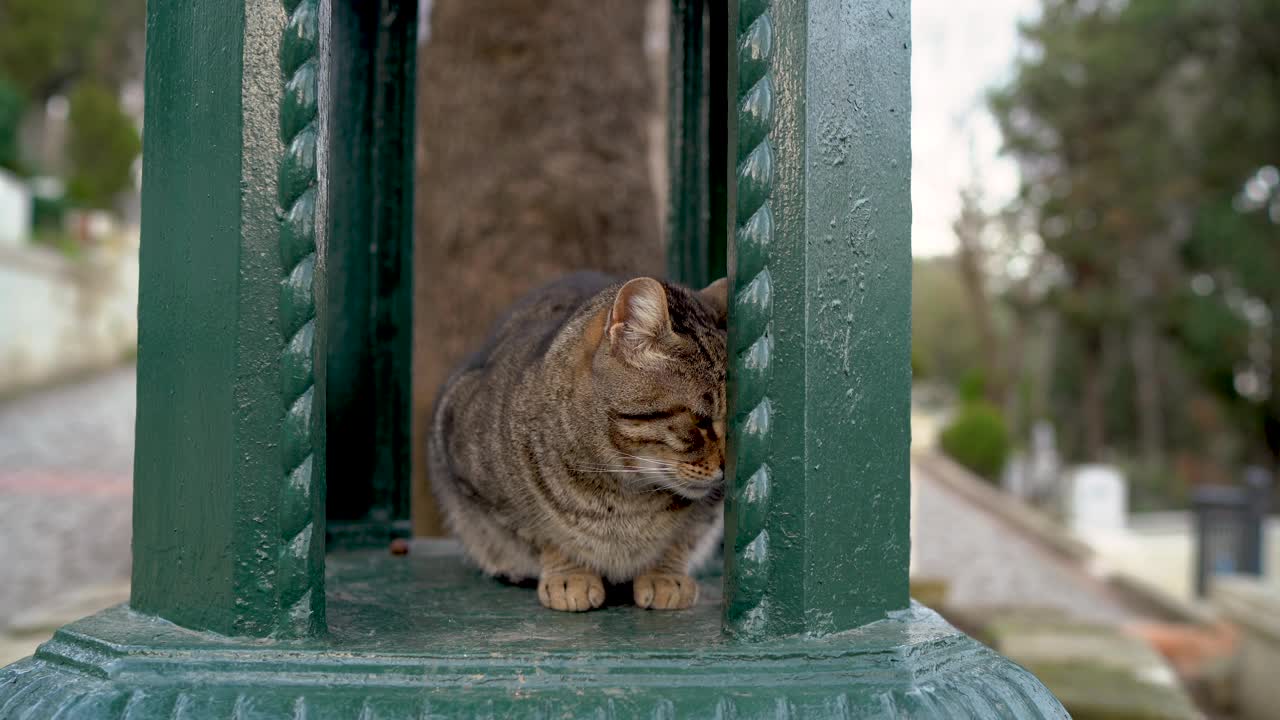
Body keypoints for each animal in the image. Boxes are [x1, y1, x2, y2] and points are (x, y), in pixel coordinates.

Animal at [427, 271, 727, 607]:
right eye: (701, 421)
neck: (626, 493)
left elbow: (682, 538)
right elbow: (543, 536)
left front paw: (665, 577)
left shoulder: (708, 512)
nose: (730, 468)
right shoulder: (492, 498)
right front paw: (569, 577)